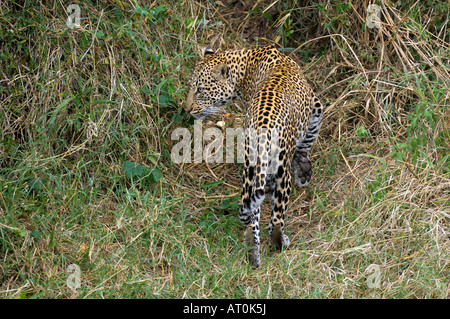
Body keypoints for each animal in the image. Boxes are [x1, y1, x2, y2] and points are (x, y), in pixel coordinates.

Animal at [184, 46, 324, 268]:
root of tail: (262, 133)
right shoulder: (315, 104)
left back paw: (253, 255)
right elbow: (309, 138)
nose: (186, 109)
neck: (246, 65)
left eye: (200, 90)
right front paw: (303, 170)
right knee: (276, 220)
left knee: (251, 219)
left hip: (250, 174)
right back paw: (280, 242)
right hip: (281, 173)